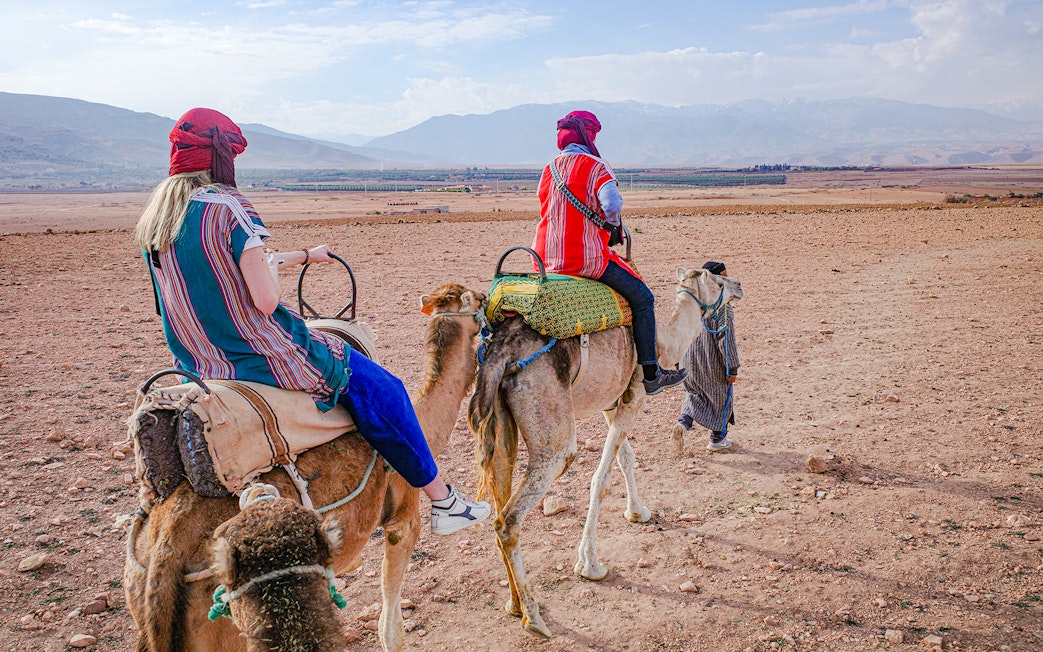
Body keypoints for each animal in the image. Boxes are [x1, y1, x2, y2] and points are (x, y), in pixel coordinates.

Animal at [468, 267, 743, 637]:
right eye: (716, 281)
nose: (738, 286)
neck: (665, 341)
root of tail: (501, 352)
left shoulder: (612, 402)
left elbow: (626, 458)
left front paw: (638, 512)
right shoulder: (636, 395)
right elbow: (600, 479)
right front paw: (589, 564)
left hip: (499, 423)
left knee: (500, 488)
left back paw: (513, 604)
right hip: (553, 434)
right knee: (509, 518)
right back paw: (534, 617)